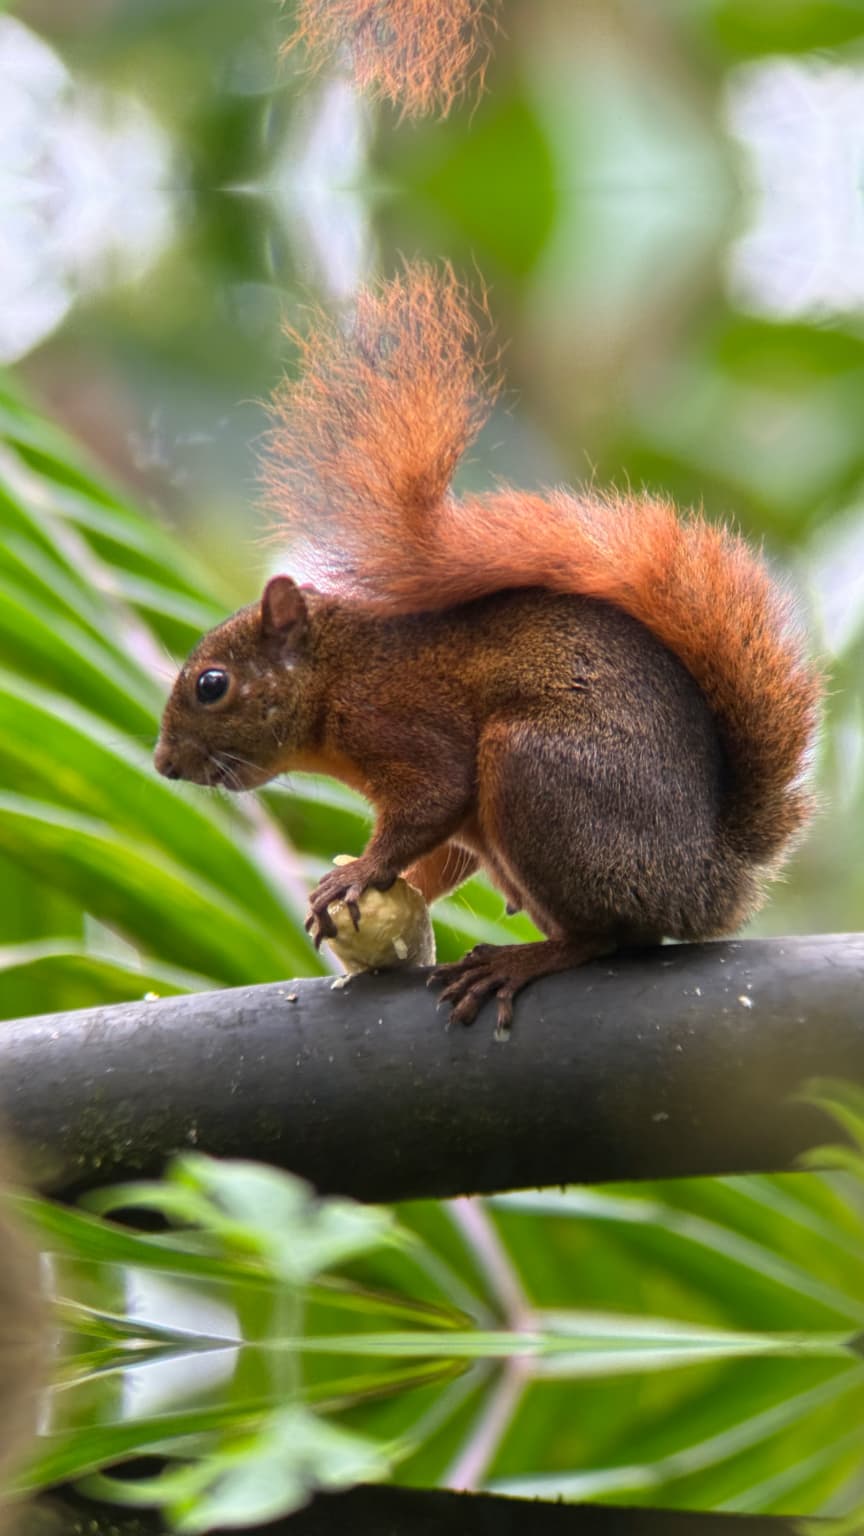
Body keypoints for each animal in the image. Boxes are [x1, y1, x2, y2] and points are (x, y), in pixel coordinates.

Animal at [155, 265, 822, 1032]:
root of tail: (710, 879)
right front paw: (380, 890)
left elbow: (434, 797)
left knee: (611, 936)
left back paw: (521, 960)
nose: (164, 764)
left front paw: (358, 873)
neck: (337, 678)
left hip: (538, 773)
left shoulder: (400, 721)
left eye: (211, 685)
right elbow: (441, 855)